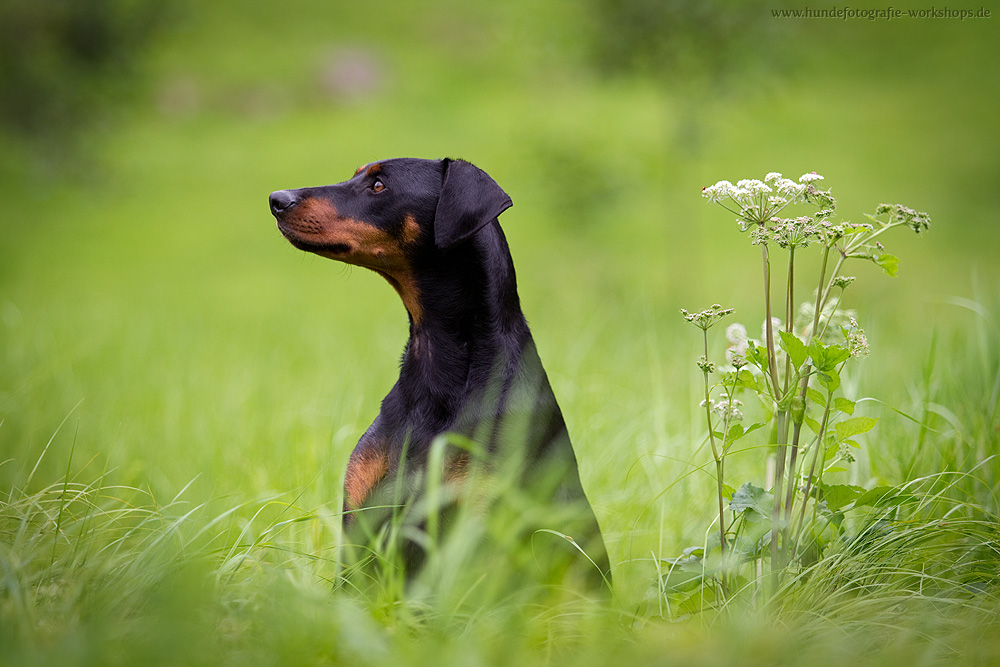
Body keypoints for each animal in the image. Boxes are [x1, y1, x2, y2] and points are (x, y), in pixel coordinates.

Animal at [268, 159, 608, 588]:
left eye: (378, 185)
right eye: (358, 173)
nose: (276, 199)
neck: (439, 364)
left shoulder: (474, 525)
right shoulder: (361, 524)